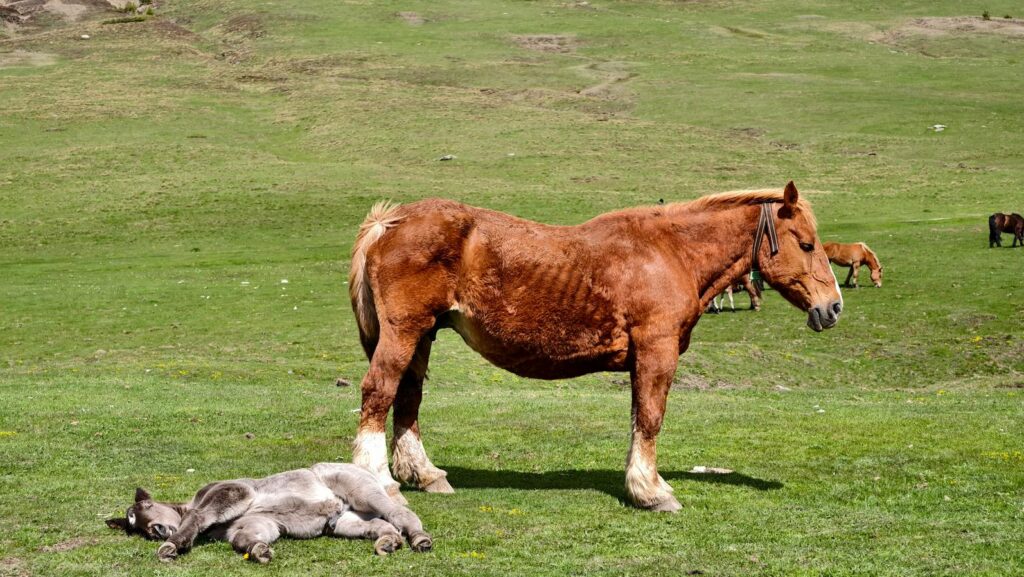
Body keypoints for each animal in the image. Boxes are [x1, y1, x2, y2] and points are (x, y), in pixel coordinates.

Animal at [106, 463, 433, 563]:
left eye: (146, 508)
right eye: (133, 525)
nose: (155, 530)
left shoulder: (233, 492)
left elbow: (196, 516)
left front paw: (172, 546)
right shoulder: (256, 522)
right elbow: (245, 539)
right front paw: (259, 550)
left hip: (362, 491)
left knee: (401, 515)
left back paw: (420, 539)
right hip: (346, 521)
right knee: (381, 524)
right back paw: (387, 543)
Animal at [348, 181, 842, 512]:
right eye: (807, 244)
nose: (833, 307)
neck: (671, 253)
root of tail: (386, 224)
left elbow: (639, 419)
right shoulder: (656, 353)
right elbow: (651, 419)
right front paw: (652, 492)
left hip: (422, 335)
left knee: (407, 399)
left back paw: (427, 476)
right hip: (404, 331)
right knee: (379, 392)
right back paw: (379, 481)